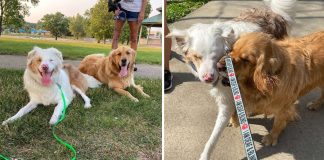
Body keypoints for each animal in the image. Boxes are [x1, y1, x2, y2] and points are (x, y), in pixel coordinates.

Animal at [167, 0, 296, 159]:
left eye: (216, 55)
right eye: (197, 57)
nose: (208, 78)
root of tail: (273, 13)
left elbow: (213, 138)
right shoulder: (226, 96)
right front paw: (235, 119)